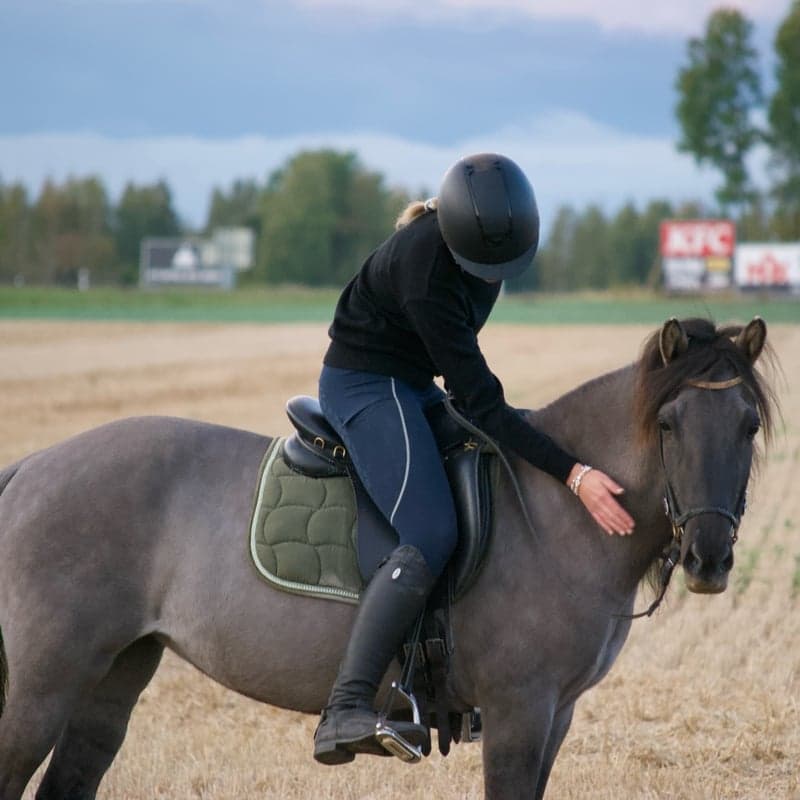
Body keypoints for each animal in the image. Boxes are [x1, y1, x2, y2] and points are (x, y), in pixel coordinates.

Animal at [0, 316, 776, 796]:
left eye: (748, 423)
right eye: (669, 424)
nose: (709, 558)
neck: (555, 513)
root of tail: (33, 466)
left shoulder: (556, 715)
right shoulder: (520, 711)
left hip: (114, 675)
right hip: (44, 684)